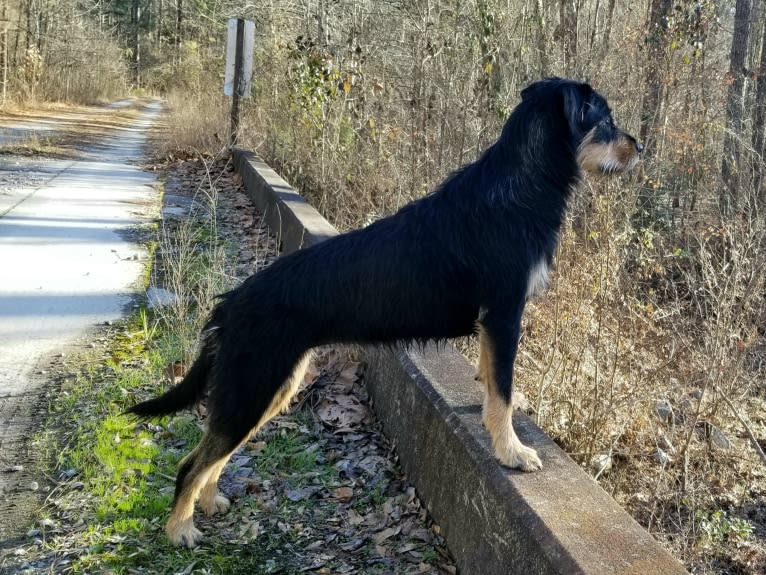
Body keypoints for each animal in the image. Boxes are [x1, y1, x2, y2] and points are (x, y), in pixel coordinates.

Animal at [130, 77, 640, 548]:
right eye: (606, 118)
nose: (640, 146)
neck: (523, 184)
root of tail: (230, 302)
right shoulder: (505, 312)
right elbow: (503, 388)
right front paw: (511, 450)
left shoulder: (493, 321)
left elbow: (492, 378)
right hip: (254, 388)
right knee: (190, 463)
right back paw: (180, 530)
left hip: (271, 387)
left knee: (213, 455)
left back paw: (209, 502)